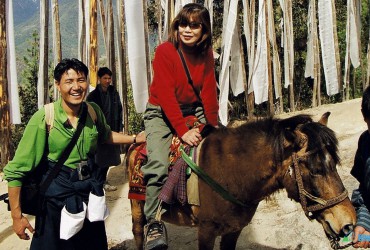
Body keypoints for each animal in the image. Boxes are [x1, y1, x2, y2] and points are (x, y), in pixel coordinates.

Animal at [126, 113, 356, 250]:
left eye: (334, 164)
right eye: (315, 169)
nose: (348, 223)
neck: (232, 172)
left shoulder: (234, 230)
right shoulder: (206, 230)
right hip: (137, 207)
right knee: (138, 232)